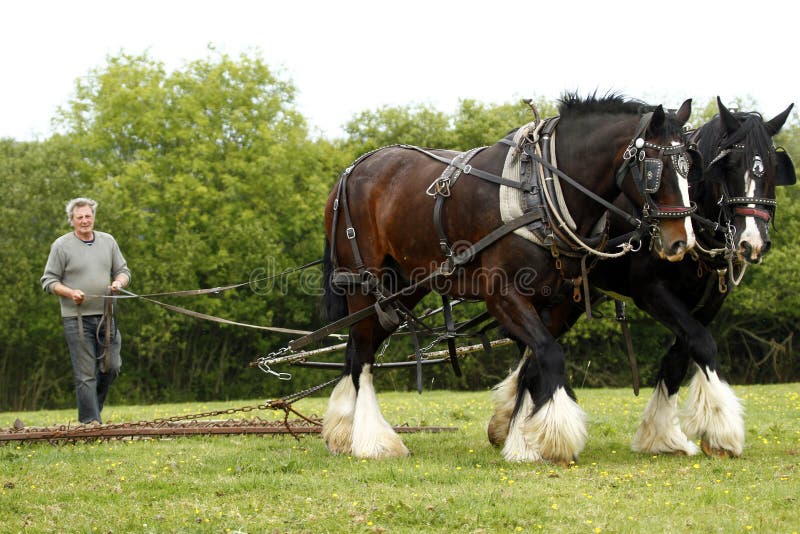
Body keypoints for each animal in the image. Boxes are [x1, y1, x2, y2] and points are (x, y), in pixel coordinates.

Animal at [320, 94, 700, 462]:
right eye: (654, 169)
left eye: (689, 166)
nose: (681, 241)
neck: (542, 190)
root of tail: (349, 172)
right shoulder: (504, 295)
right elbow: (550, 354)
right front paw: (553, 439)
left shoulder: (552, 300)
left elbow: (534, 363)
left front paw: (521, 437)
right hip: (363, 282)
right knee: (363, 354)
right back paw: (372, 441)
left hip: (401, 287)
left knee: (356, 348)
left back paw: (344, 432)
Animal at [488, 99, 792, 460]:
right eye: (729, 164)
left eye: (772, 166)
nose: (752, 242)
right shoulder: (651, 292)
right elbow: (702, 343)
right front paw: (721, 430)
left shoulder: (710, 302)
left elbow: (681, 355)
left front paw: (662, 435)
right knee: (534, 355)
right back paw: (523, 439)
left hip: (565, 301)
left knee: (532, 354)